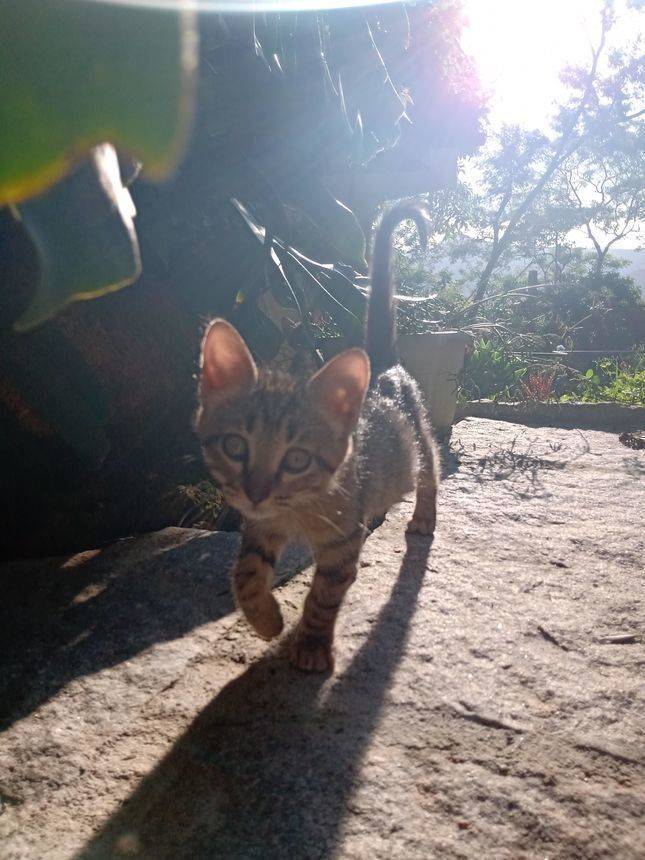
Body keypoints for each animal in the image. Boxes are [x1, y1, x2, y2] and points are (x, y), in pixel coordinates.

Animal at [195, 204, 439, 672]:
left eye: (297, 459)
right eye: (235, 446)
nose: (256, 492)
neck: (298, 509)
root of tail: (383, 363)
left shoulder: (339, 541)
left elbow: (325, 595)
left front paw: (310, 643)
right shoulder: (258, 524)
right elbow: (245, 572)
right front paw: (265, 619)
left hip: (418, 436)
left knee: (429, 471)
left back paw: (423, 517)